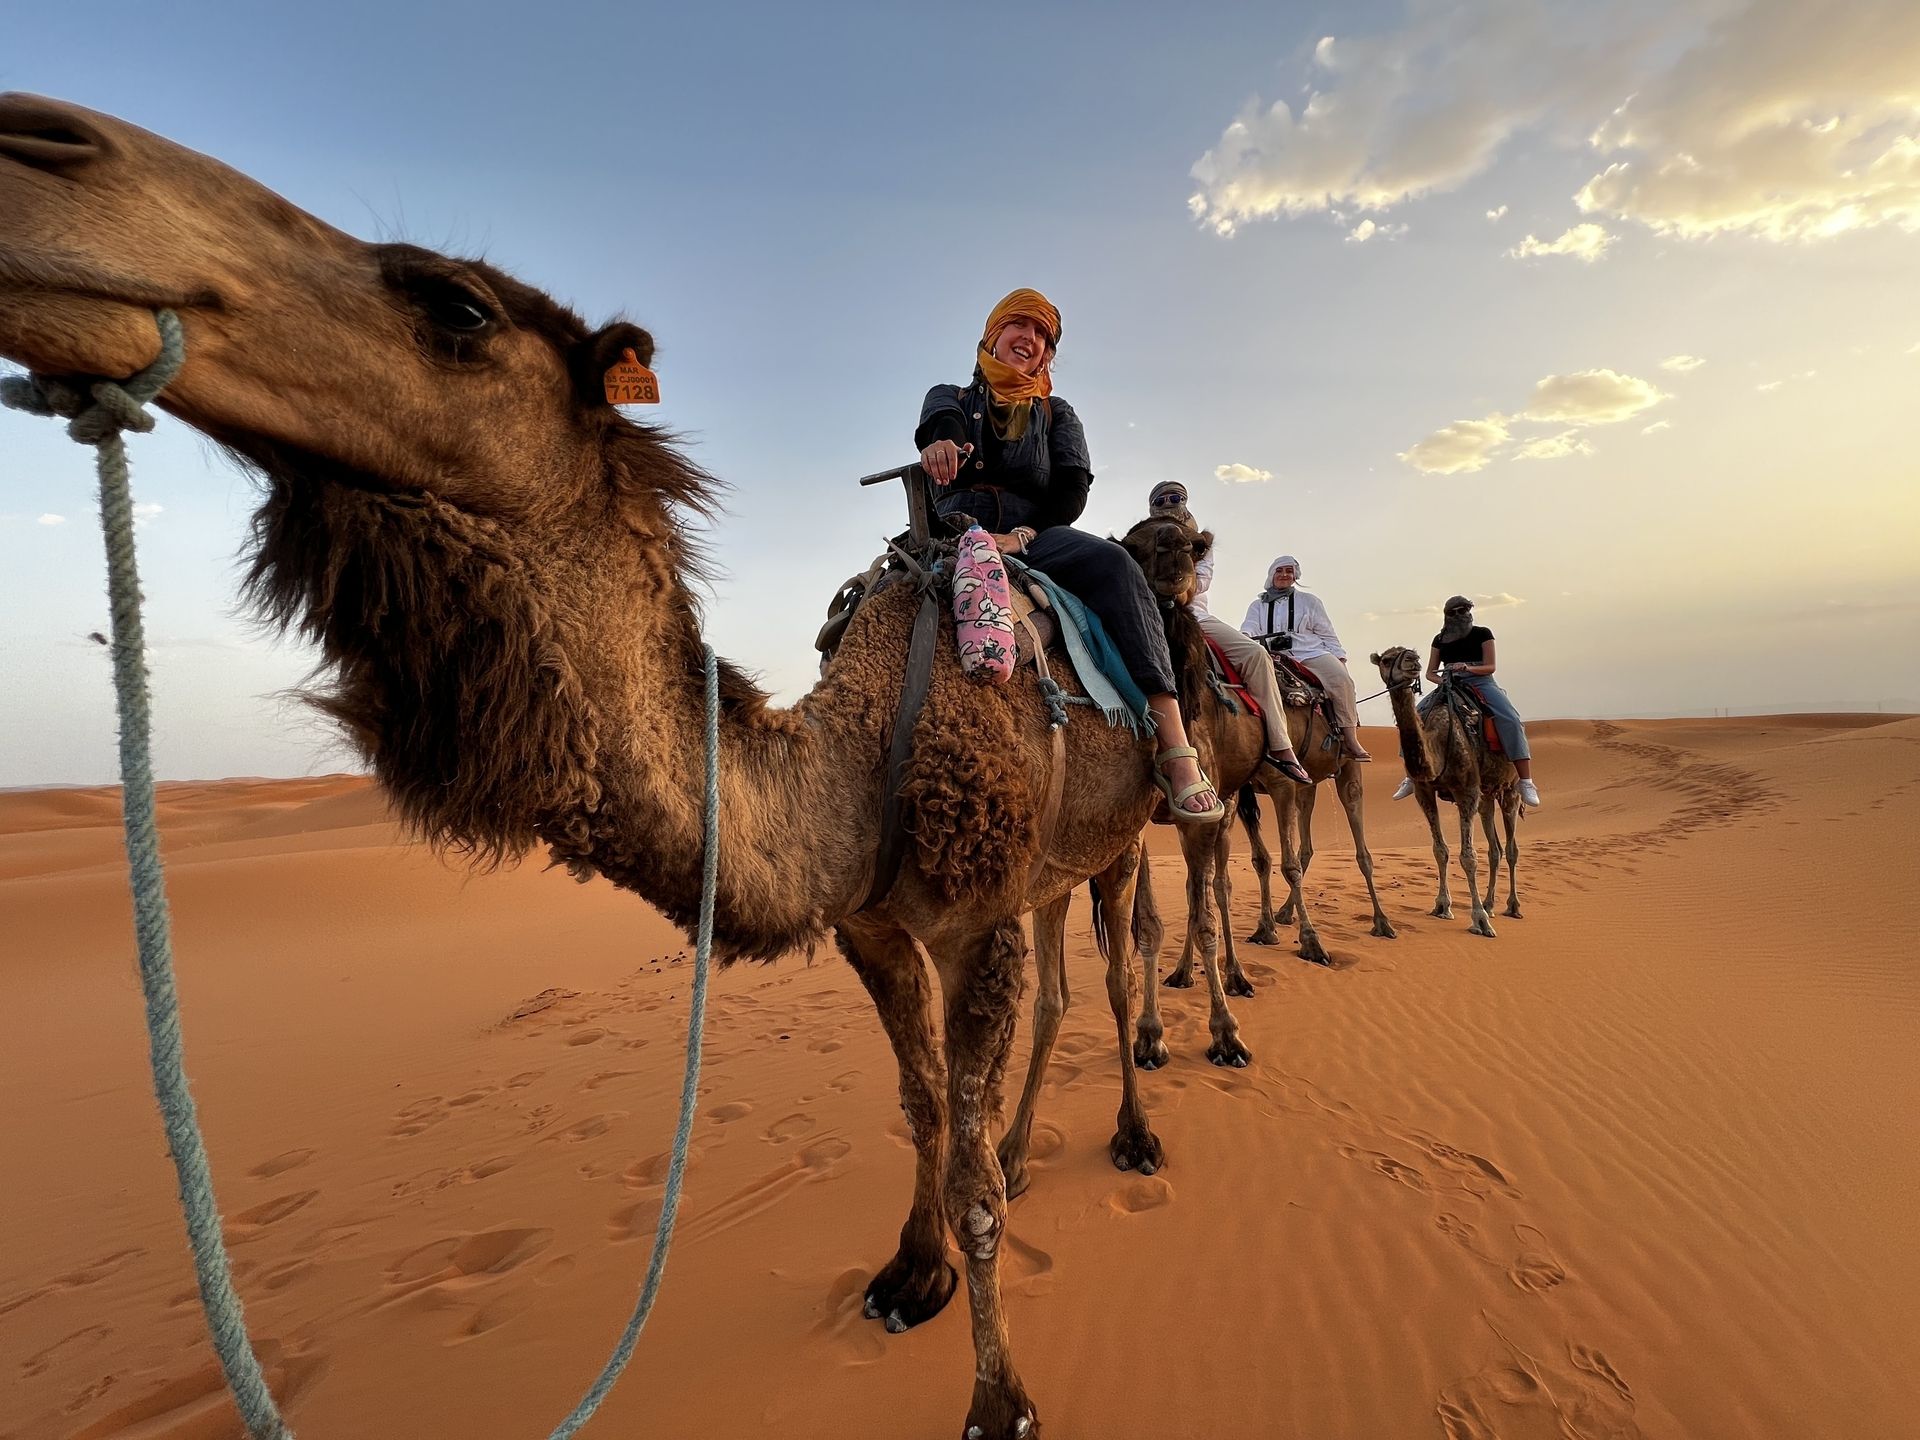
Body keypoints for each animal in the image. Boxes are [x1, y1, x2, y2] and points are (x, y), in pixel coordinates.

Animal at [0, 93, 1183, 1440]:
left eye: (459, 306)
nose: (38, 143)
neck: (860, 770)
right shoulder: (876, 927)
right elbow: (929, 1105)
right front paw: (910, 1274)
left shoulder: (969, 922)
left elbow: (971, 1155)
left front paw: (1001, 1399)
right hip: (1051, 870)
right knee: (1060, 996)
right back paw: (1041, 1149)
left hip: (1121, 832)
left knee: (1121, 961)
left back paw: (1136, 1134)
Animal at [1372, 646, 1522, 937]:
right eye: (1386, 659)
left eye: (1411, 654)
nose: (1412, 661)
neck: (1438, 745)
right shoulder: (1424, 792)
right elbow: (1440, 850)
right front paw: (1442, 906)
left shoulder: (1466, 791)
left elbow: (1468, 857)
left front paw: (1479, 920)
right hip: (1487, 794)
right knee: (1495, 849)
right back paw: (1490, 904)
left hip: (1511, 787)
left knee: (1511, 848)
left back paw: (1512, 906)